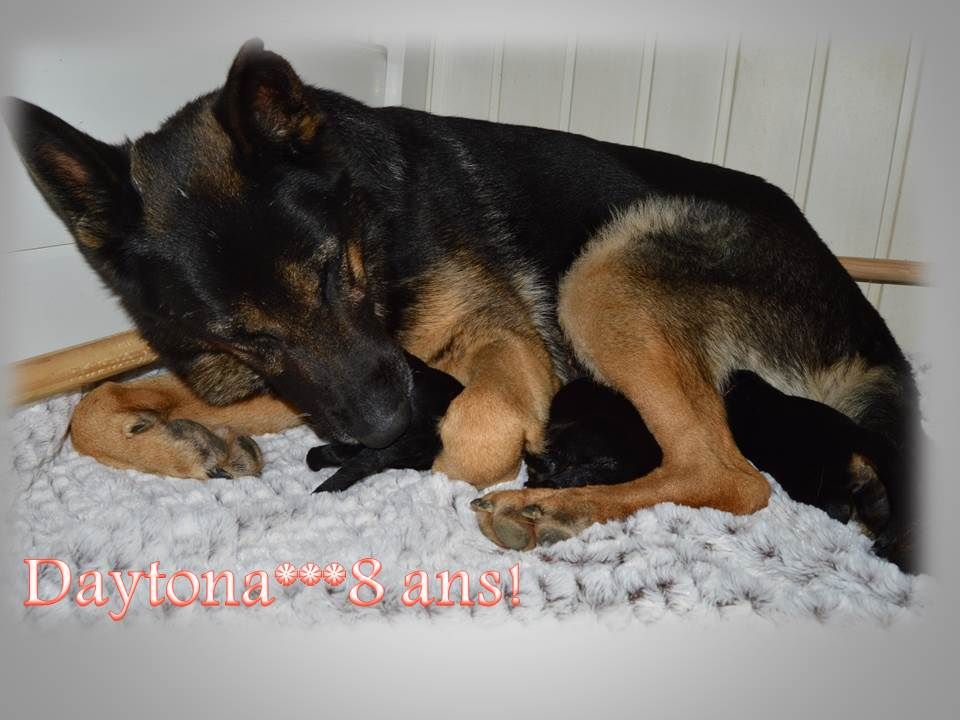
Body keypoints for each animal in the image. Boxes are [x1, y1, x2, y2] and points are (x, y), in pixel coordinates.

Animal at [5, 39, 924, 572]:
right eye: (244, 333)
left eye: (332, 274)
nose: (383, 430)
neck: (373, 227)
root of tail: (870, 324)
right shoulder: (321, 382)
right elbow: (91, 400)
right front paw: (184, 441)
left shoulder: (486, 349)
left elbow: (477, 429)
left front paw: (457, 455)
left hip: (607, 270)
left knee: (729, 474)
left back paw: (549, 508)